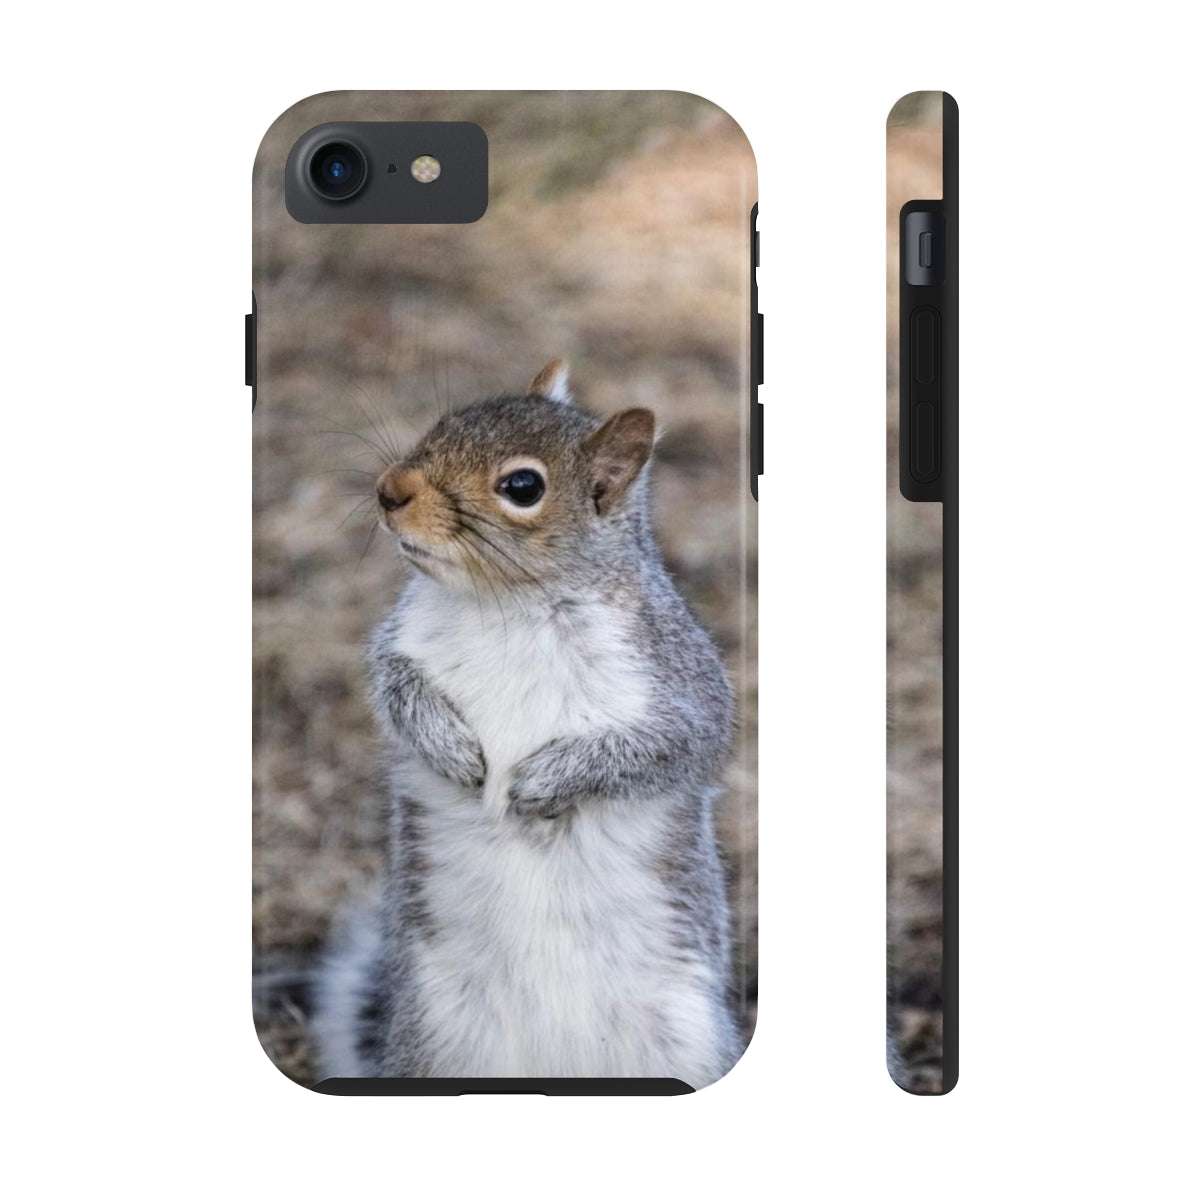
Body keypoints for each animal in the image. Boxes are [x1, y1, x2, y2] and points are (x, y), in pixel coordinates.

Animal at [312, 361, 741, 1087]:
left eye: (522, 487)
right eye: (444, 423)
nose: (389, 490)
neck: (507, 603)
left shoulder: (679, 682)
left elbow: (666, 747)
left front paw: (542, 781)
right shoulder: (400, 643)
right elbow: (395, 689)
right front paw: (452, 749)